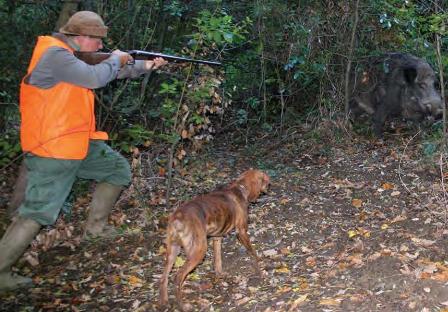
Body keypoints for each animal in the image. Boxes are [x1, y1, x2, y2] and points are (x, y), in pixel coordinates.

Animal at [159, 169, 270, 306]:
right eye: (265, 179)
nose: (270, 184)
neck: (240, 188)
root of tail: (178, 217)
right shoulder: (241, 231)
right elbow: (252, 250)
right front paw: (259, 262)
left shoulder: (217, 237)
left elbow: (218, 261)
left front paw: (220, 275)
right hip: (198, 251)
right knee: (178, 276)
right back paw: (183, 305)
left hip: (172, 252)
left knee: (163, 277)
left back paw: (164, 302)